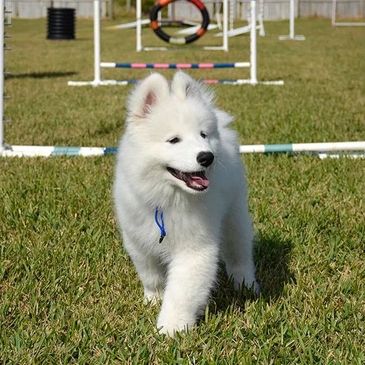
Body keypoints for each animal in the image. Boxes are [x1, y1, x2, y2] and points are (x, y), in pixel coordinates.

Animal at [112, 72, 258, 336]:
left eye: (202, 135)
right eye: (174, 140)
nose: (207, 156)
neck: (169, 199)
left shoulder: (194, 247)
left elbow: (182, 291)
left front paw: (171, 328)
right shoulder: (138, 240)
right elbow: (151, 274)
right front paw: (153, 299)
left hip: (234, 215)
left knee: (240, 252)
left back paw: (246, 284)